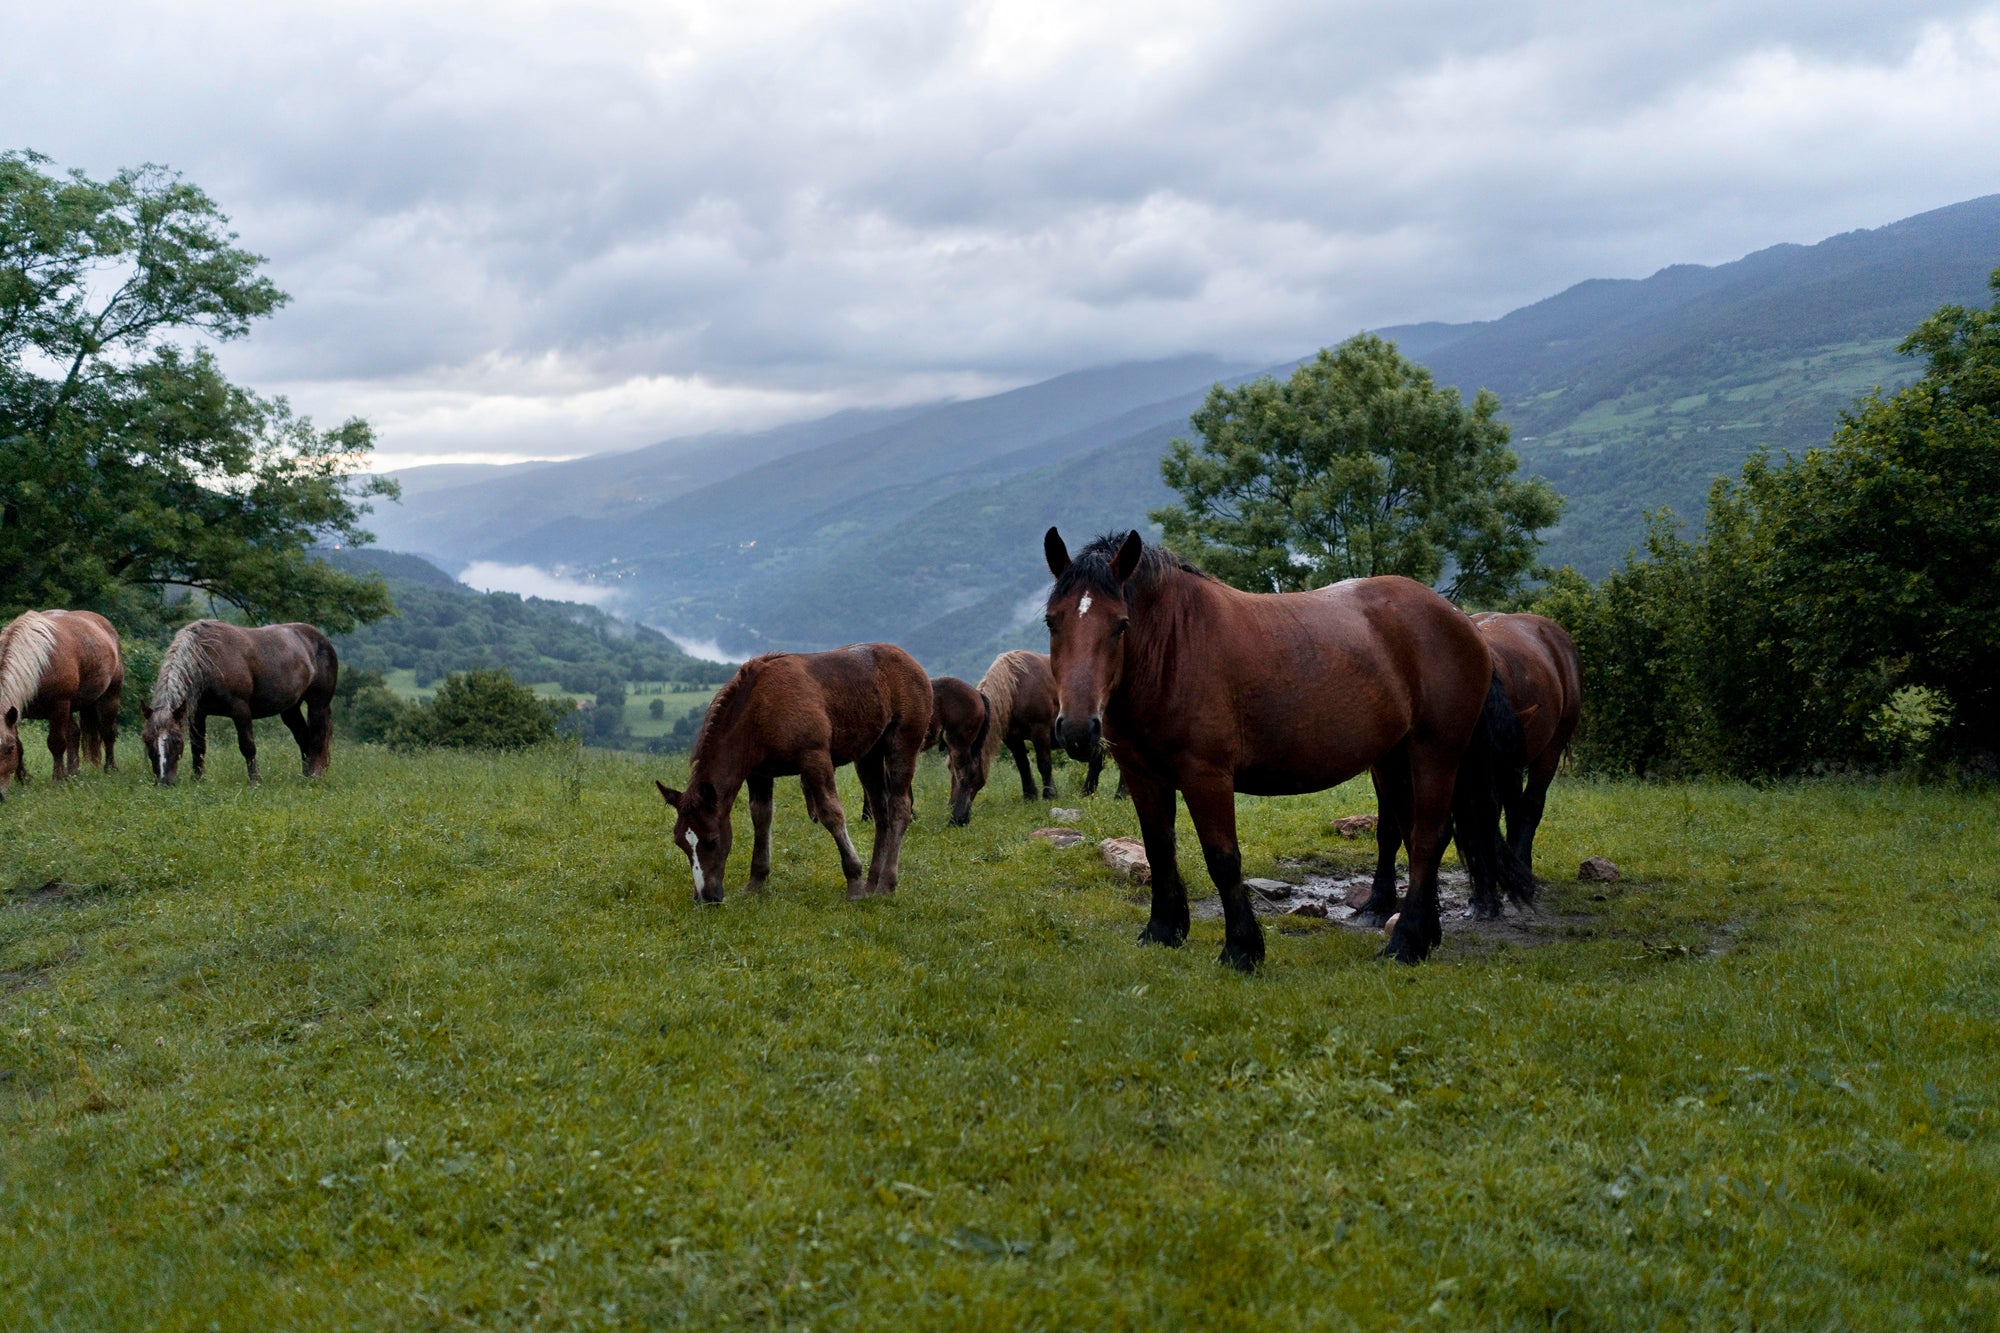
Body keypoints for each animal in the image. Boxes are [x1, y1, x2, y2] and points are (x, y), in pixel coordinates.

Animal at [0, 610, 124, 800]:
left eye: (8, 749)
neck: (38, 663)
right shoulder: (16, 712)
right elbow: (21, 744)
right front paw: (23, 778)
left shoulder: (59, 705)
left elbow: (56, 742)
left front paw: (58, 778)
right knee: (74, 733)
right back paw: (73, 772)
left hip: (110, 696)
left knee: (108, 732)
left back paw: (110, 768)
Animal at [142, 620, 339, 784]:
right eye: (147, 740)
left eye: (176, 740)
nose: (164, 781)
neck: (207, 659)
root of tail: (320, 639)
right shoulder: (198, 713)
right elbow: (198, 747)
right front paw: (197, 779)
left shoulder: (240, 709)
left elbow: (247, 746)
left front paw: (255, 780)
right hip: (290, 709)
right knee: (303, 738)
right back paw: (305, 775)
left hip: (318, 704)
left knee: (317, 738)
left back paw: (314, 776)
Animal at [656, 643, 931, 902]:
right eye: (680, 842)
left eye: (712, 840)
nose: (705, 898)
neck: (760, 708)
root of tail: (911, 662)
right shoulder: (758, 773)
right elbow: (761, 817)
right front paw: (755, 882)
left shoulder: (815, 758)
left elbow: (832, 814)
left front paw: (853, 882)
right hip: (868, 756)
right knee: (881, 812)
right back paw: (872, 883)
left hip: (902, 743)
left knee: (899, 807)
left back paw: (886, 884)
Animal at [1042, 529, 1531, 967]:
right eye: (1052, 621)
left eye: (1121, 625)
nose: (1077, 730)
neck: (1175, 647)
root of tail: (1463, 621)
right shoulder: (1142, 775)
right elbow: (1159, 848)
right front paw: (1163, 931)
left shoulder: (1207, 776)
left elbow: (1223, 859)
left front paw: (1242, 949)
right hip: (1395, 758)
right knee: (1415, 836)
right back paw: (1424, 936)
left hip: (1436, 751)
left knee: (1430, 837)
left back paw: (1405, 945)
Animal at [1362, 611, 1583, 908]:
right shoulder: (1388, 765)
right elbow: (1388, 828)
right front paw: (1378, 900)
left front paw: (1485, 896)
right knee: (1515, 808)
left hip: (1550, 748)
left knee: (1530, 807)